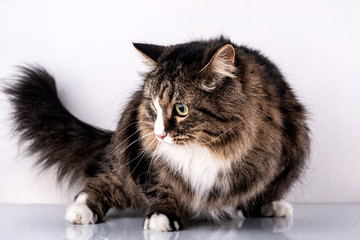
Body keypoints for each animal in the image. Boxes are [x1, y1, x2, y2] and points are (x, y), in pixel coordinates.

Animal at [4, 36, 310, 232]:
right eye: (153, 106)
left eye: (182, 109)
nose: (161, 134)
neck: (202, 147)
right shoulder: (145, 155)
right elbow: (162, 187)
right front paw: (163, 218)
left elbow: (249, 186)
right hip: (124, 153)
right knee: (102, 183)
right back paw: (80, 212)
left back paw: (271, 206)